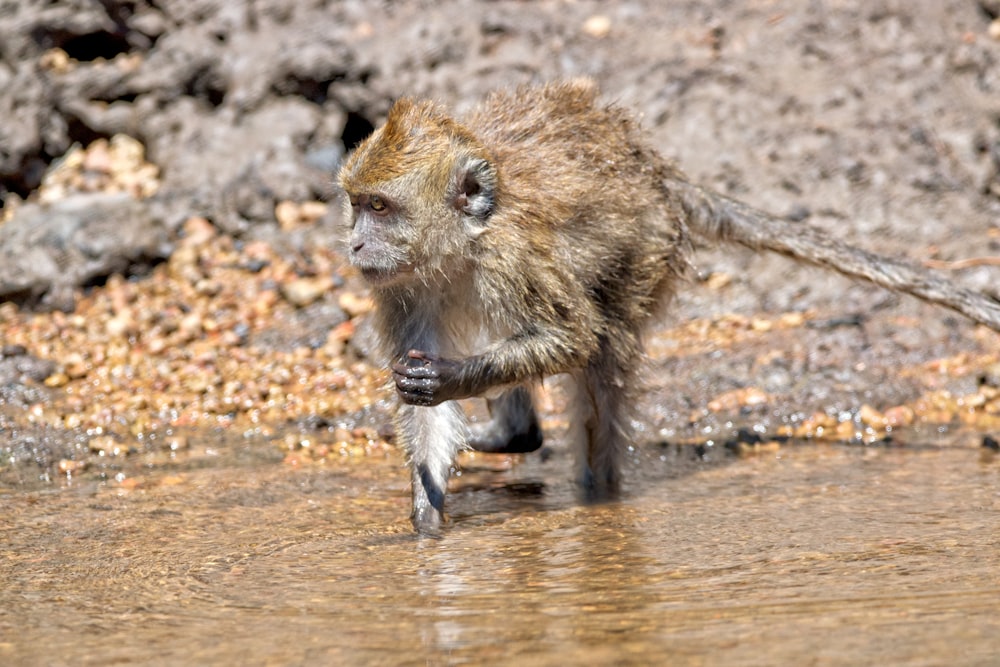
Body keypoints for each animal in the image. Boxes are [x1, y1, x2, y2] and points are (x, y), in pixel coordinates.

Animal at [334, 79, 1000, 536]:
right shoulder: (399, 288)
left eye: (381, 208)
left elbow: (574, 338)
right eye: (358, 204)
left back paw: (599, 496)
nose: (356, 244)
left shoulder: (515, 258)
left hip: (647, 248)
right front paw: (426, 529)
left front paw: (447, 379)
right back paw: (518, 434)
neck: (461, 242)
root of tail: (650, 164)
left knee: (603, 360)